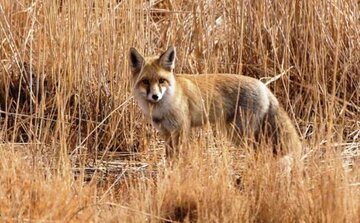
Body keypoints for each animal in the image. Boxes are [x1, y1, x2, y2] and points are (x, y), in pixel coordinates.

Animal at [129, 46, 300, 158]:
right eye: (145, 82)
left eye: (161, 81)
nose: (155, 96)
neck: (163, 108)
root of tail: (263, 86)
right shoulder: (166, 133)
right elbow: (170, 158)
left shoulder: (181, 130)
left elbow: (179, 158)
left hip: (240, 133)